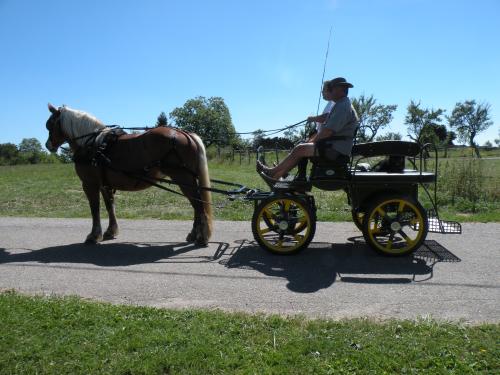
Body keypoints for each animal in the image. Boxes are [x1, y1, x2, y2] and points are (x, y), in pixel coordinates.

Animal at [44, 103, 213, 247]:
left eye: (50, 125)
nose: (48, 145)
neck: (91, 144)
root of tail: (187, 134)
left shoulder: (89, 184)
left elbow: (95, 209)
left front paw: (94, 236)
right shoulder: (105, 184)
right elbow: (109, 206)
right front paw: (111, 231)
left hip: (183, 178)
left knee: (198, 205)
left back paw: (202, 237)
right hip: (188, 179)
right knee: (197, 204)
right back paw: (194, 235)